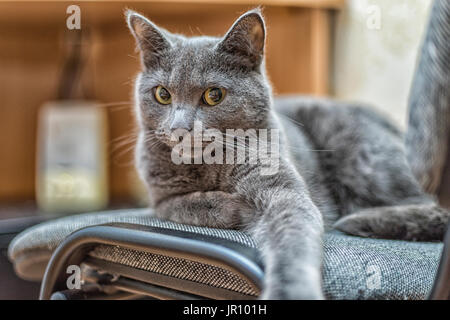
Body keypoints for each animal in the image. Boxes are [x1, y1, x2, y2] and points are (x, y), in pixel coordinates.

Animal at [125, 8, 450, 300]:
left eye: (213, 95)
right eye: (162, 94)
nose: (179, 128)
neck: (208, 164)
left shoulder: (282, 189)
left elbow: (293, 238)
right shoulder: (159, 195)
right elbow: (178, 205)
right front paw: (233, 206)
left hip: (365, 159)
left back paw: (366, 219)